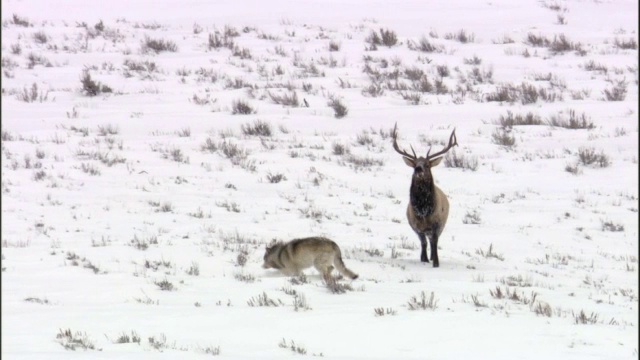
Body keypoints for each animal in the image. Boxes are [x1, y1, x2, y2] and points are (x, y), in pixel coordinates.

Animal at [388, 124, 458, 268]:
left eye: (427, 164)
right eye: (414, 164)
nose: (418, 169)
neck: (424, 212)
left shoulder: (437, 224)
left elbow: (435, 243)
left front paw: (436, 263)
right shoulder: (416, 226)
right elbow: (423, 243)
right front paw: (424, 259)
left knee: (433, 241)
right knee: (426, 242)